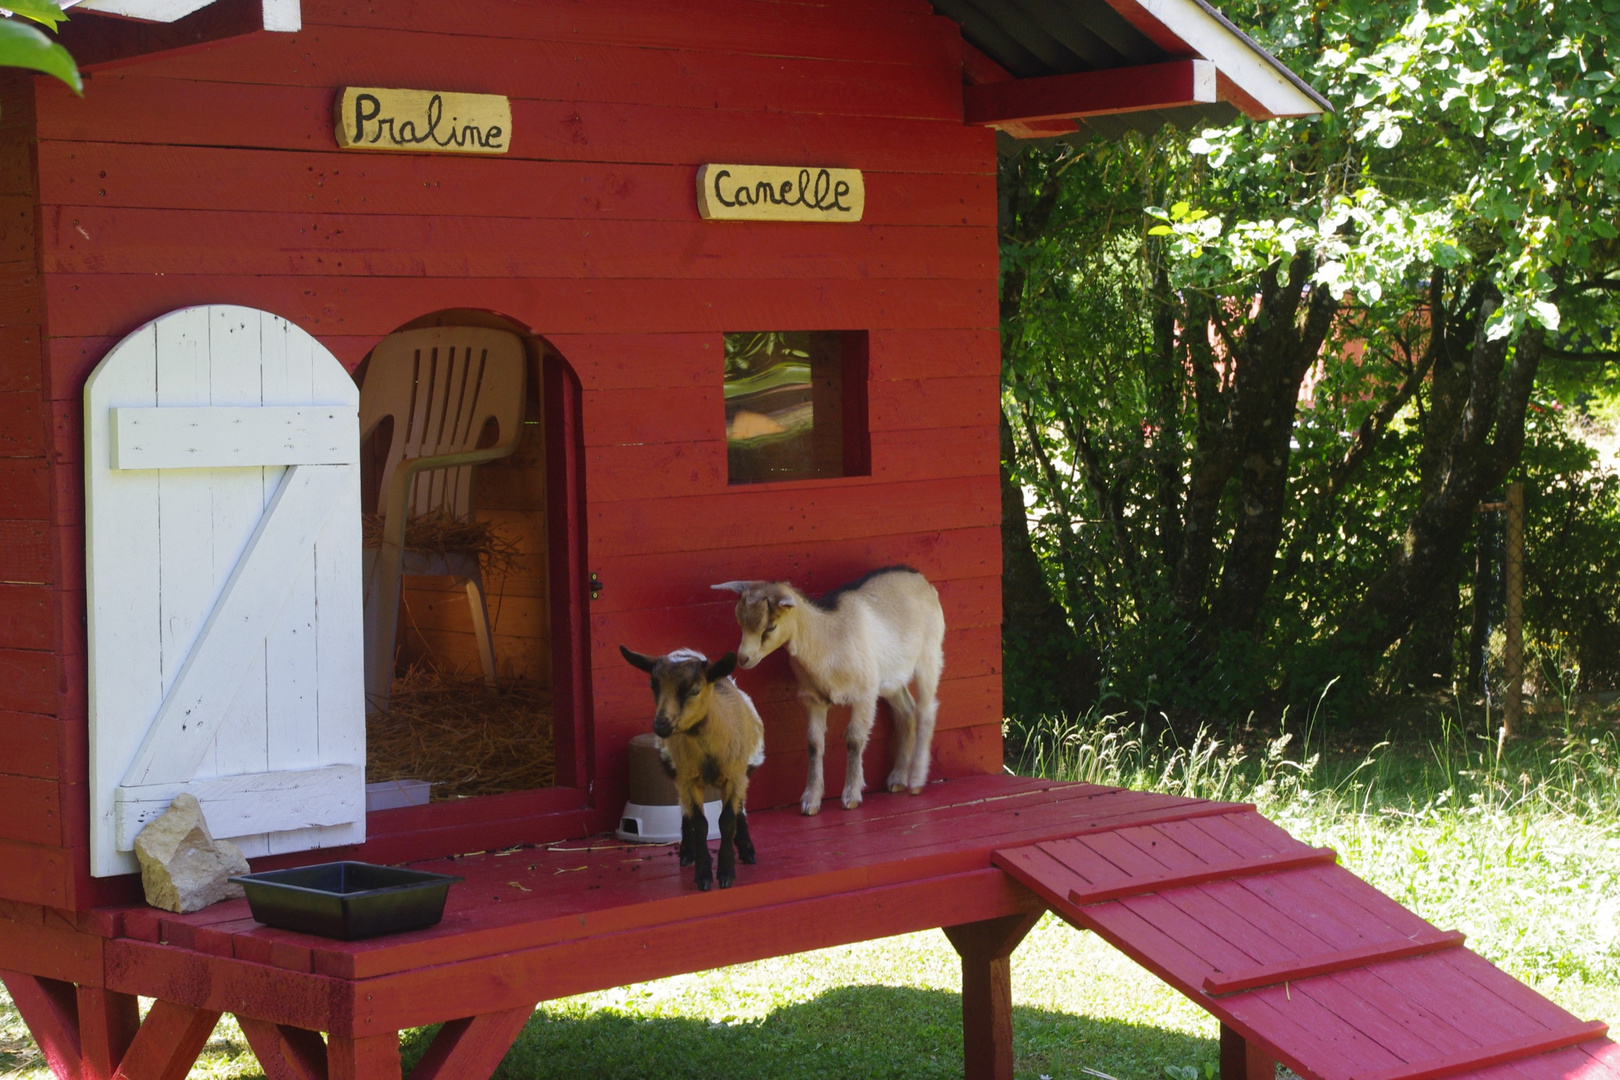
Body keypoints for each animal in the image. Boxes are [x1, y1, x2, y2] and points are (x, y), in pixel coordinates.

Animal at [622, 647, 767, 893]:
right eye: (653, 686)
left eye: (694, 690)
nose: (661, 724)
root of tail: (685, 651)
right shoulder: (688, 779)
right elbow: (700, 824)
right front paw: (704, 876)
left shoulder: (735, 777)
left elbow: (727, 820)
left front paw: (726, 874)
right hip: (677, 772)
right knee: (685, 809)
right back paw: (687, 853)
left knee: (740, 808)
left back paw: (747, 850)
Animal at [712, 569, 946, 816]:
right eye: (740, 622)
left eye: (771, 627)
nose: (743, 658)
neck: (828, 639)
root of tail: (922, 580)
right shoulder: (814, 698)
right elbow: (814, 744)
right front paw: (810, 801)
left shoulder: (864, 693)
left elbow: (854, 739)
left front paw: (851, 796)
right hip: (890, 678)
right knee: (907, 711)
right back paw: (898, 778)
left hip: (929, 657)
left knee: (926, 711)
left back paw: (916, 781)